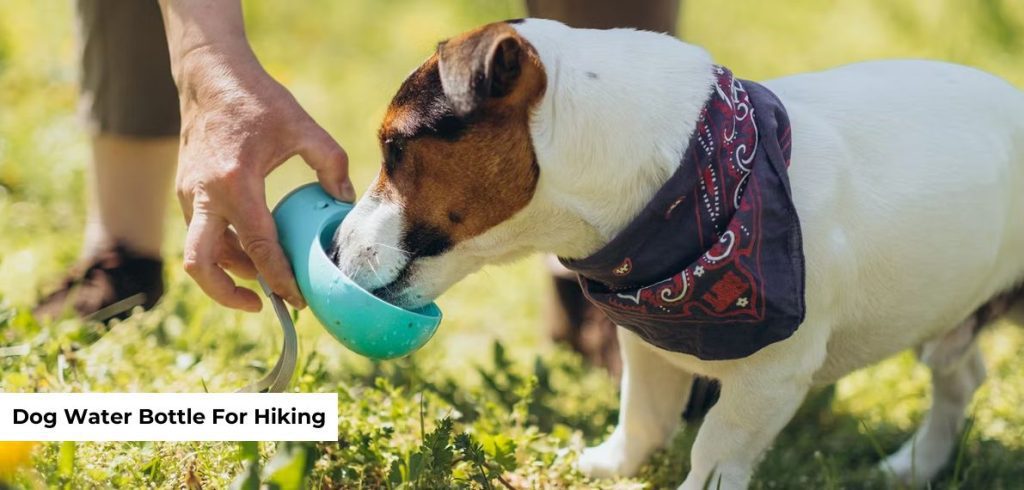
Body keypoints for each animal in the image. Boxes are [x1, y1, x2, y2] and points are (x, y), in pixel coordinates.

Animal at [331, 19, 1024, 490]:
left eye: (394, 147)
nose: (334, 247)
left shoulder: (772, 377)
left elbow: (715, 449)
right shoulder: (646, 342)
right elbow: (642, 414)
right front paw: (609, 465)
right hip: (948, 313)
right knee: (961, 375)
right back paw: (915, 466)